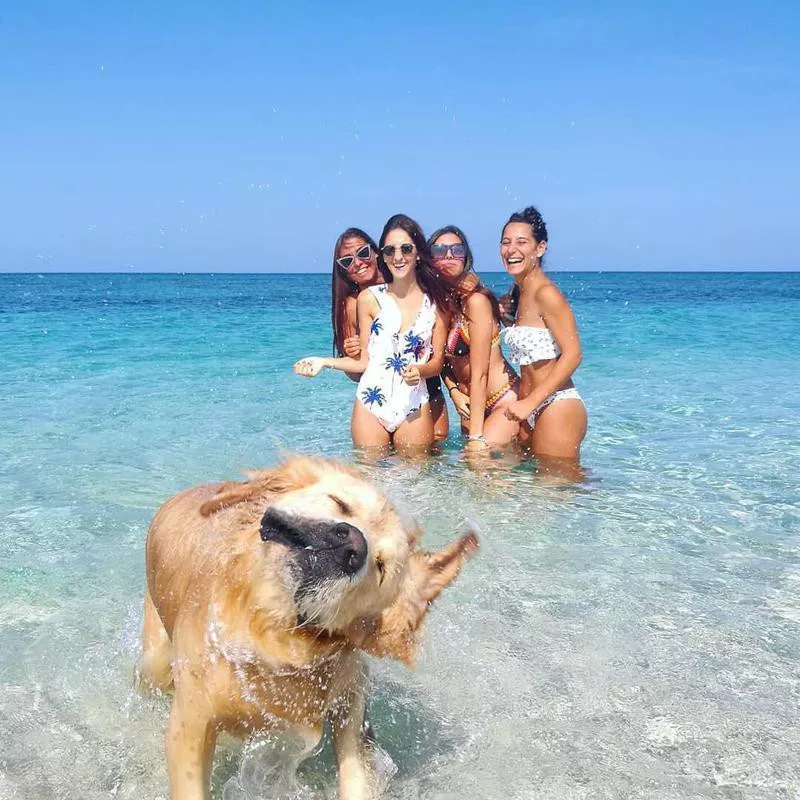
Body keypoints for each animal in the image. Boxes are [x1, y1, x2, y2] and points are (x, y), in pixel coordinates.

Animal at [138, 456, 478, 800]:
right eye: (340, 504)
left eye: (380, 567)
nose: (353, 544)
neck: (271, 636)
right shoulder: (192, 724)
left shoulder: (352, 693)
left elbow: (356, 771)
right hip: (155, 663)